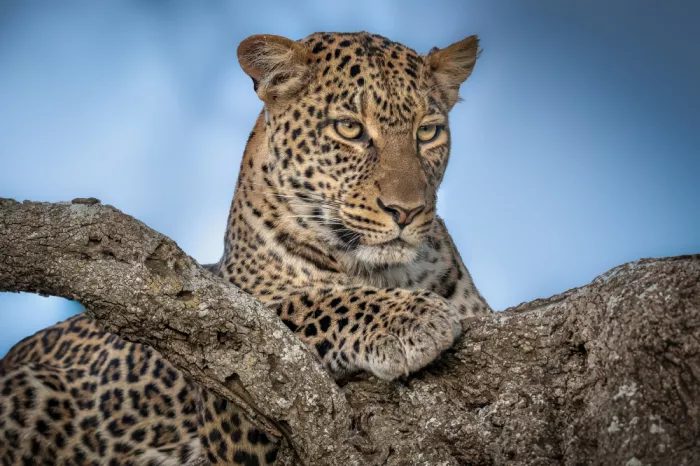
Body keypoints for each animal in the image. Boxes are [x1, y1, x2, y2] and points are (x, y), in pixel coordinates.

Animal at [0, 31, 491, 465]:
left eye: (427, 132)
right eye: (349, 129)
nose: (406, 211)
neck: (385, 272)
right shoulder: (232, 383)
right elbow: (308, 307)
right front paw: (413, 318)